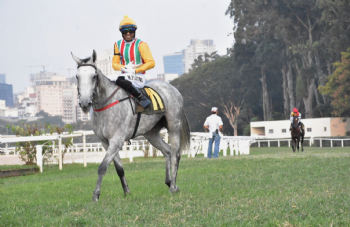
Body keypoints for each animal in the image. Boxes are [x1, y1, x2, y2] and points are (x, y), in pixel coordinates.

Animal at [72, 50, 191, 201]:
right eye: (77, 76)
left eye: (94, 76)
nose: (85, 103)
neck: (106, 104)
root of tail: (172, 87)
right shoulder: (105, 142)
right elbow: (119, 169)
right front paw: (126, 191)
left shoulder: (116, 140)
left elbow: (102, 167)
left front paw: (96, 195)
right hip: (151, 134)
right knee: (168, 151)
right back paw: (169, 182)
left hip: (173, 126)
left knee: (176, 154)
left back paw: (173, 187)